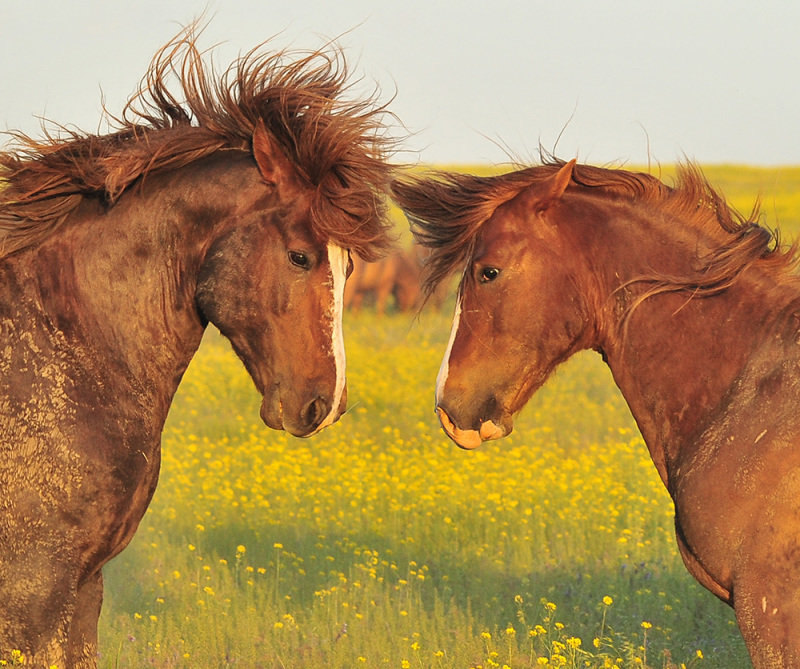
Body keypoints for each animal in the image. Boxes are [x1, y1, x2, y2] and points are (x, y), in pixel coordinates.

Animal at [0, 26, 396, 668]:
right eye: (300, 256)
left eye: (350, 265)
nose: (325, 405)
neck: (61, 348)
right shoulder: (34, 593)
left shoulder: (83, 587)